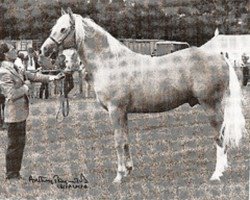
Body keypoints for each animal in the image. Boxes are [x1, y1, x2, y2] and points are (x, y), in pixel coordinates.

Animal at [39, 7, 246, 183]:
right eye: (54, 28)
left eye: (63, 29)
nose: (44, 50)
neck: (110, 63)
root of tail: (221, 58)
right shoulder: (123, 113)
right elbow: (125, 140)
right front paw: (128, 170)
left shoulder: (115, 110)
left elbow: (118, 141)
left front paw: (119, 175)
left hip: (210, 105)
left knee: (220, 136)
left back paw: (217, 174)